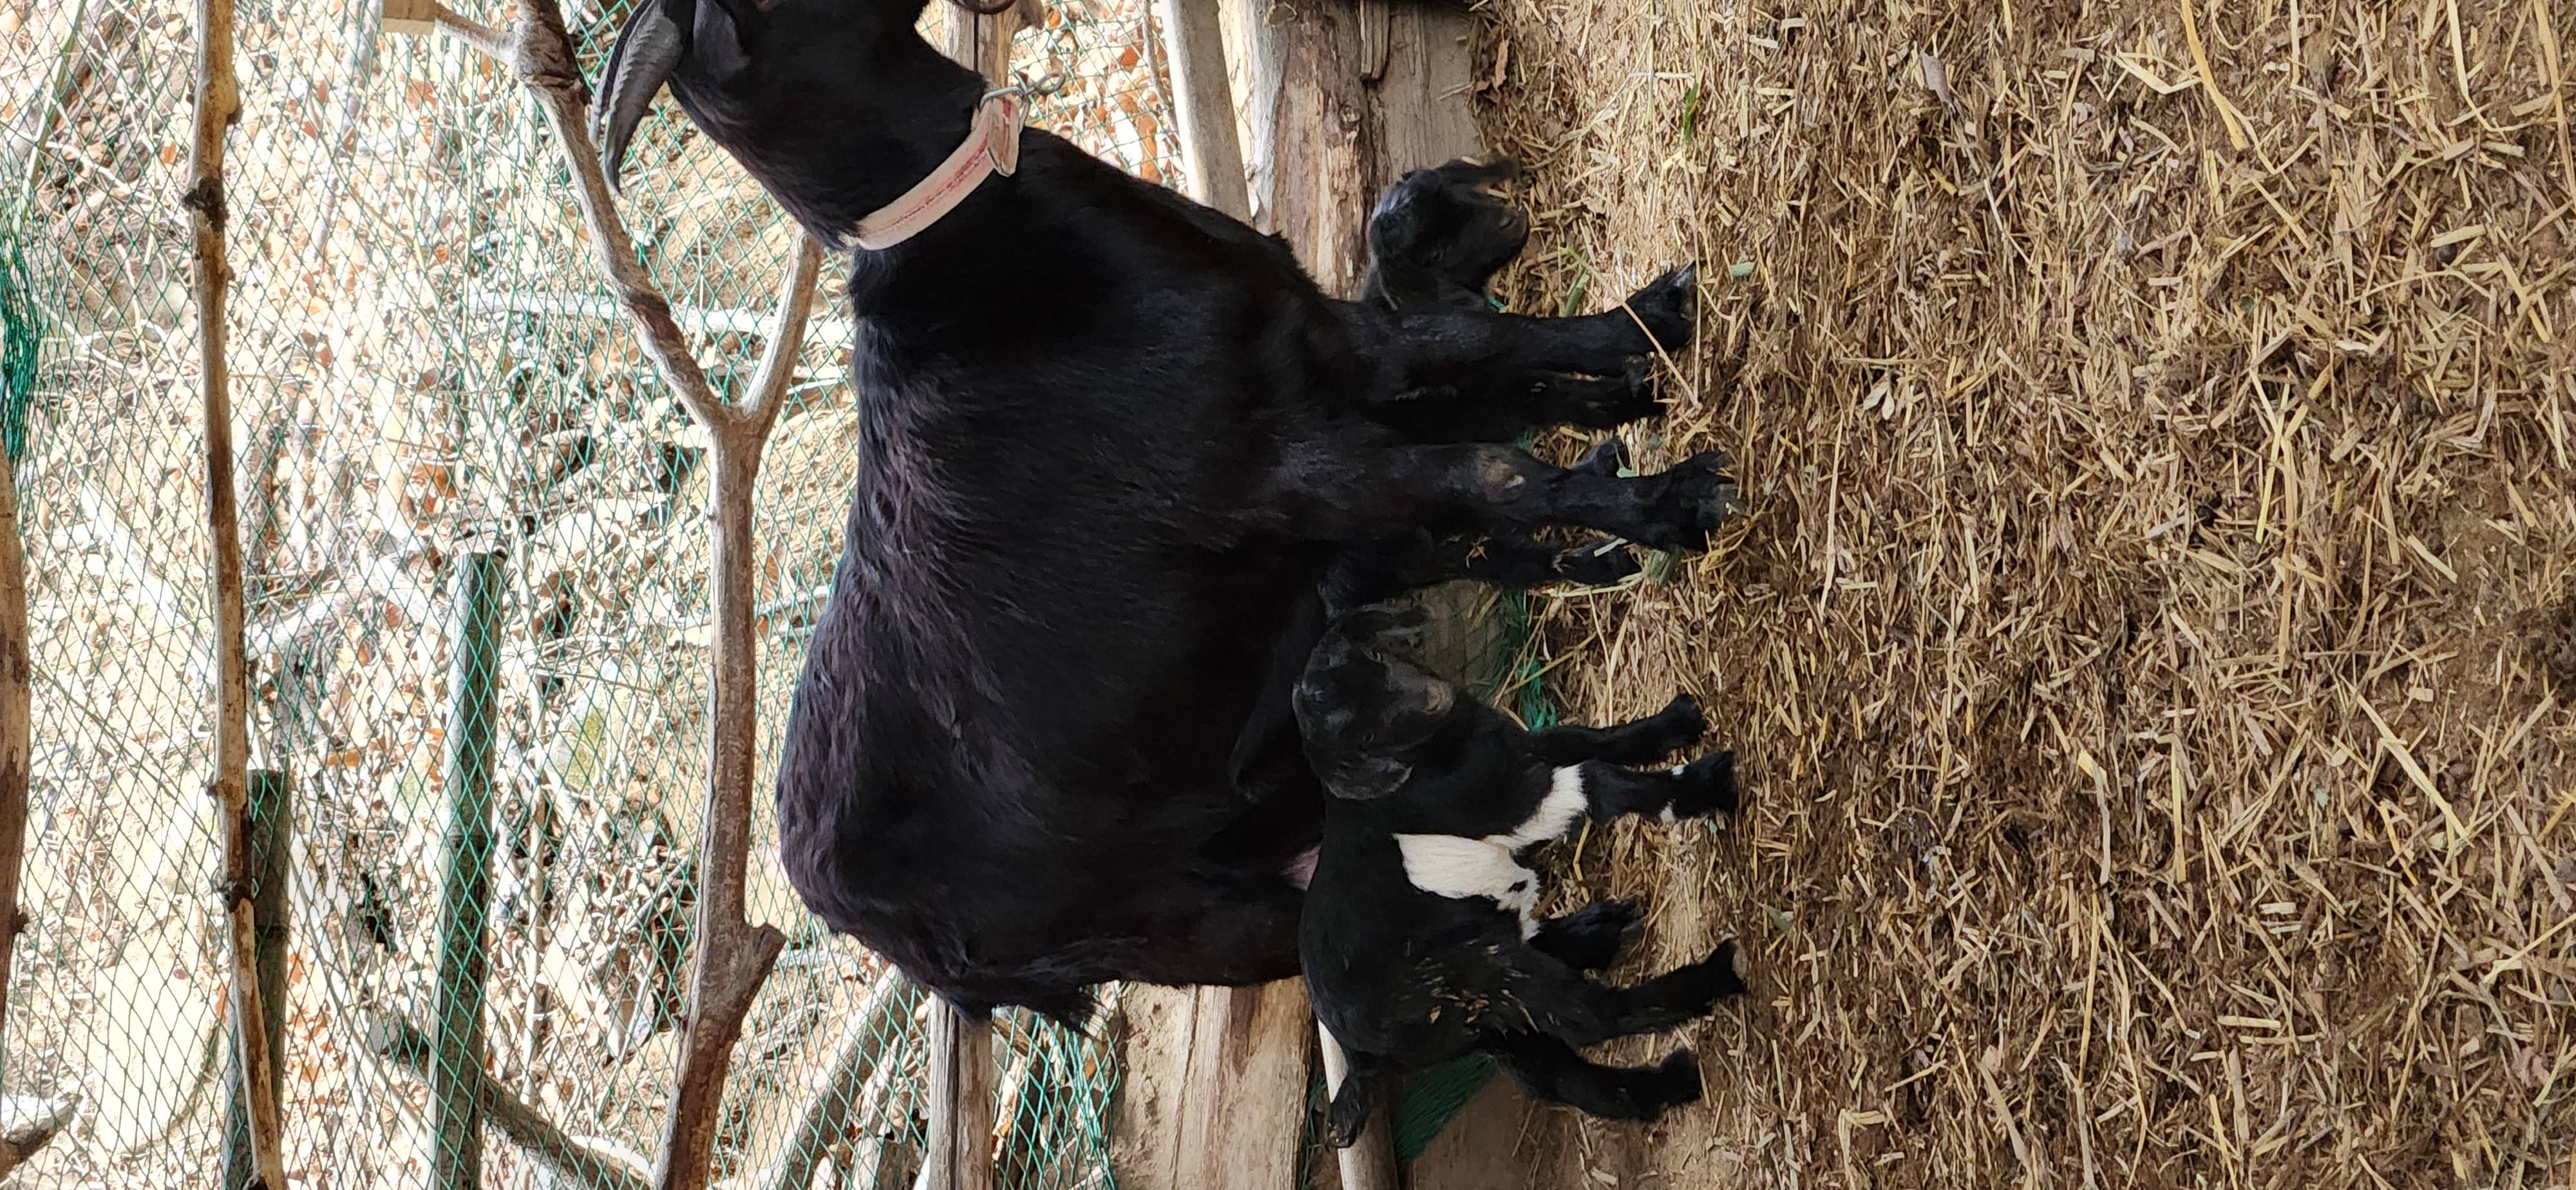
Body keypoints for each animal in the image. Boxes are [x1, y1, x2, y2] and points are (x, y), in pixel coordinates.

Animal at [595, 2, 1741, 1025]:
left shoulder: (1326, 351)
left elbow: (1486, 355)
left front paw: (1646, 342)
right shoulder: (1280, 470)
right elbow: (1485, 465)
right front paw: (1673, 500)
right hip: (1185, 926)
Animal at [1288, 605, 1752, 1144]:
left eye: (1375, 657)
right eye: (1361, 737)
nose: (1432, 698)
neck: (1446, 747)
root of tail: (1359, 1056)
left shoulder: (1524, 746)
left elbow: (1585, 738)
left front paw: (1676, 720)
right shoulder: (1514, 803)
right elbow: (1599, 779)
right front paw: (1701, 787)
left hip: (1483, 1022)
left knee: (1559, 1077)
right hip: (1476, 977)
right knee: (1587, 1018)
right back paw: (1711, 976)